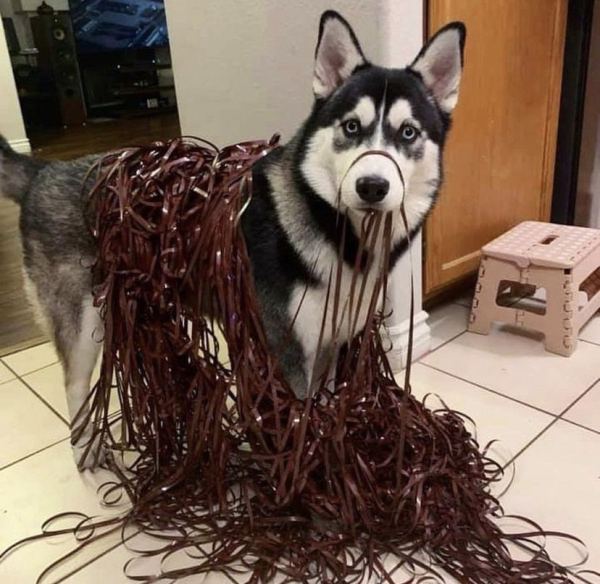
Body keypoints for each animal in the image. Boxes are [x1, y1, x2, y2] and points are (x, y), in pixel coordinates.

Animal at [0, 12, 464, 470]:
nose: (372, 186)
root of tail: (42, 170)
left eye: (408, 133)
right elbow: (298, 429)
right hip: (82, 327)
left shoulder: (330, 345)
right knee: (74, 387)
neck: (341, 237)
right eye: (352, 127)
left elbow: (325, 410)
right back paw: (86, 453)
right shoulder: (286, 353)